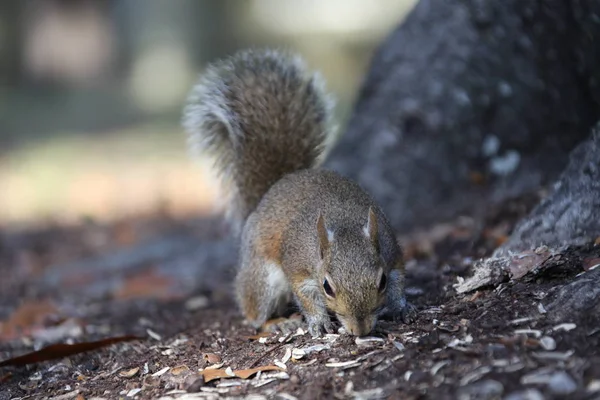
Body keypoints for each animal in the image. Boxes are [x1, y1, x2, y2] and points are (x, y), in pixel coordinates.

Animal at [184, 48, 418, 336]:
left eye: (381, 281)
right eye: (327, 287)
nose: (360, 329)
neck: (344, 223)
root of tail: (275, 187)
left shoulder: (391, 253)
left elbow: (399, 281)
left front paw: (402, 307)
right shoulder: (299, 268)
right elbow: (305, 296)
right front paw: (318, 322)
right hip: (262, 278)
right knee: (253, 314)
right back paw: (277, 322)